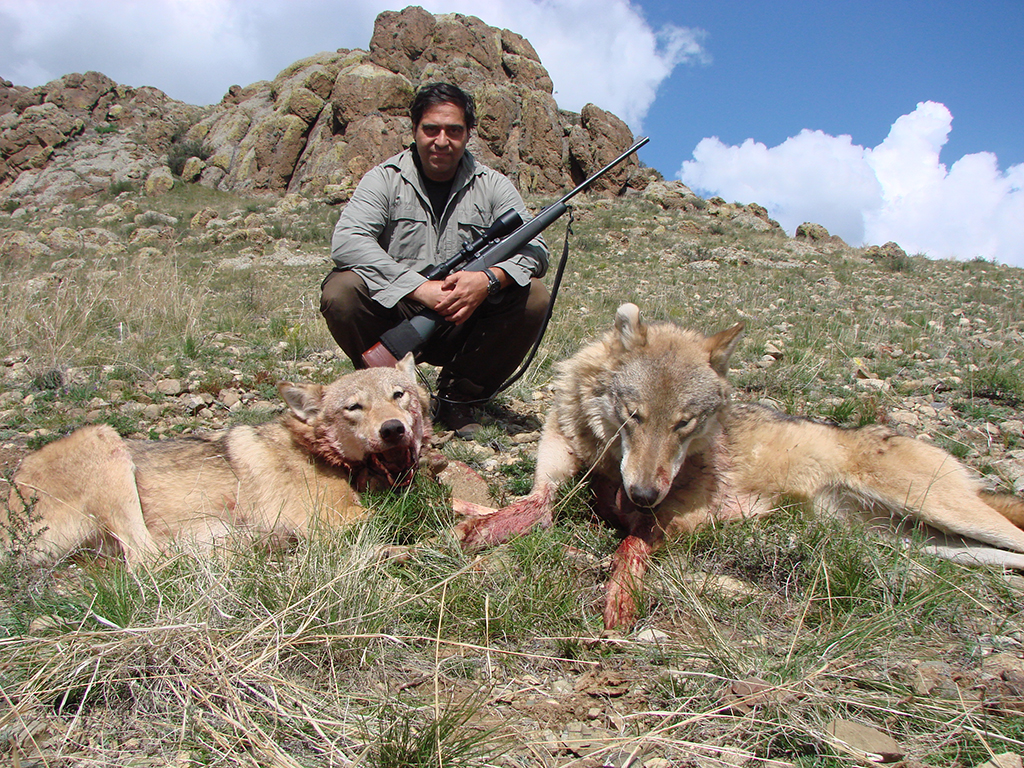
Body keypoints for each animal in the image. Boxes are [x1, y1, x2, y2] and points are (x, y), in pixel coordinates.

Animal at [4, 356, 430, 565]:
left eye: (399, 395)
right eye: (354, 407)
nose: (392, 429)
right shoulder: (333, 517)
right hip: (103, 439)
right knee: (146, 560)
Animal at [458, 303, 1024, 630]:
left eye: (684, 424)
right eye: (634, 416)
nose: (643, 495)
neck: (607, 463)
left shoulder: (670, 523)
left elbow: (627, 548)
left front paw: (620, 601)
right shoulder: (555, 475)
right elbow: (531, 506)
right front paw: (471, 526)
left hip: (938, 511)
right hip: (915, 540)